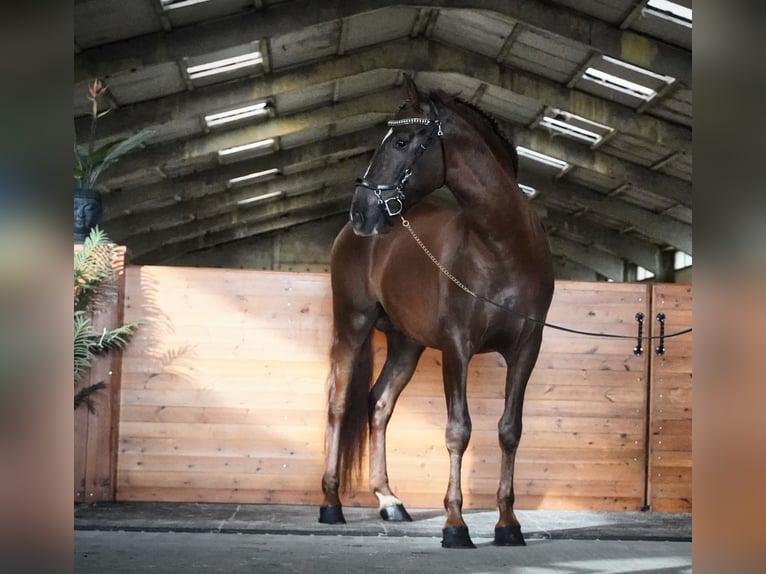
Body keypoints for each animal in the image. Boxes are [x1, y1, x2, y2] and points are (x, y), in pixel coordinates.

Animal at [320, 76, 556, 548]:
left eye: (403, 140)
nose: (362, 211)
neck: (503, 246)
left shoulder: (526, 348)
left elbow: (509, 430)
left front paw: (508, 524)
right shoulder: (456, 348)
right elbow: (458, 430)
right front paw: (455, 525)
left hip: (405, 345)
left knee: (379, 404)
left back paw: (389, 501)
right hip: (351, 324)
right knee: (338, 402)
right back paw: (332, 504)